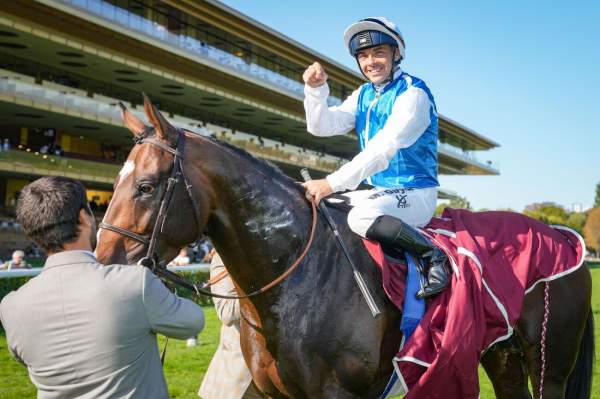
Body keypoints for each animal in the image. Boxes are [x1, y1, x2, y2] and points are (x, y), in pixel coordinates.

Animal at [96, 97, 592, 399]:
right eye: (115, 182)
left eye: (145, 186)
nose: (102, 263)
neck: (297, 278)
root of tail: (565, 235)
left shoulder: (337, 391)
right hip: (501, 356)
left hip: (549, 365)